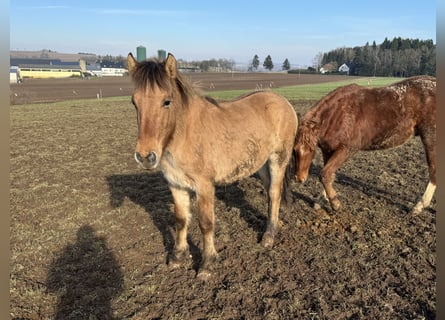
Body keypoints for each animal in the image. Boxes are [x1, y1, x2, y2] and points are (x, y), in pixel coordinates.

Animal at [125, 53, 298, 280]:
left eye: (166, 101)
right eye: (134, 102)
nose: (145, 156)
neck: (183, 134)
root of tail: (283, 102)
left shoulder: (204, 186)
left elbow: (206, 223)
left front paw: (207, 264)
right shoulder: (175, 183)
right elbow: (181, 219)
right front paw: (178, 256)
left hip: (278, 159)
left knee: (274, 193)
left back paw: (268, 236)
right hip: (260, 163)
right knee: (271, 194)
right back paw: (275, 225)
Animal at [294, 76, 436, 214]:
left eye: (311, 150)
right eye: (294, 150)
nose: (299, 178)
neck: (337, 114)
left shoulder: (347, 149)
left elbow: (325, 174)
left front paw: (335, 203)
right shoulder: (328, 150)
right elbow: (328, 174)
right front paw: (322, 200)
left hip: (429, 136)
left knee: (433, 169)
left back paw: (420, 206)